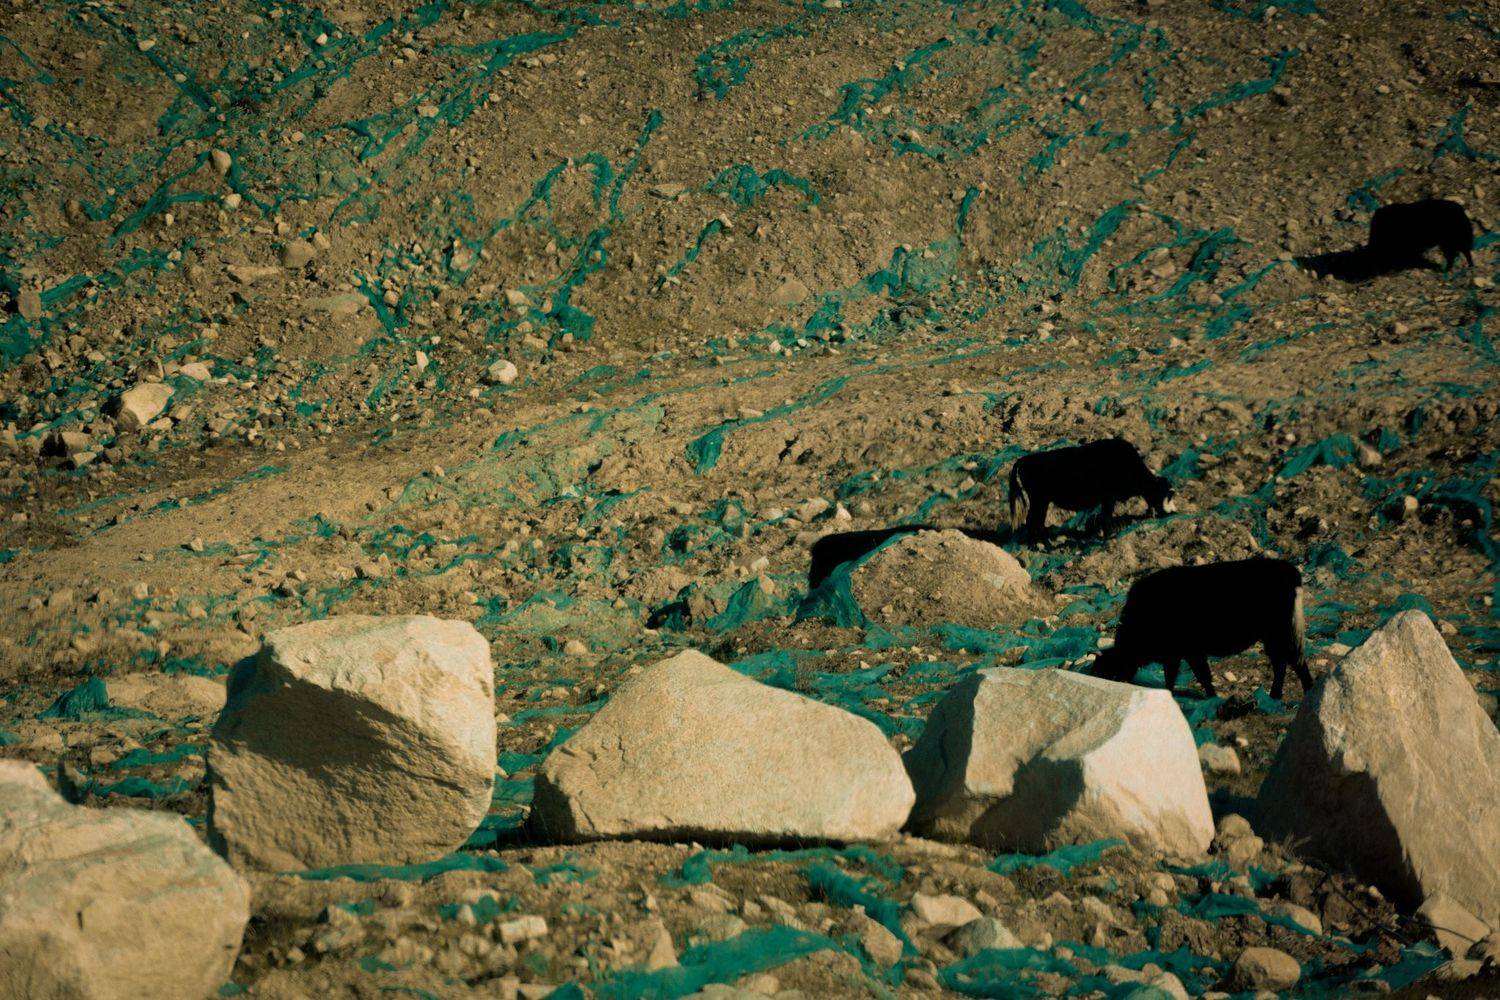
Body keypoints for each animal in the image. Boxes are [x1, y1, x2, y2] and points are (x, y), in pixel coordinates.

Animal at [1008, 438, 1174, 543]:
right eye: (1166, 494)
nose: (1173, 512)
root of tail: (1024, 460)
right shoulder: (1108, 499)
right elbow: (1106, 518)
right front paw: (1109, 537)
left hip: (1041, 501)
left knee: (1033, 521)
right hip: (1040, 500)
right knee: (1035, 521)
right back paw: (1045, 546)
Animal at [1091, 557, 1313, 701]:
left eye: (1107, 674)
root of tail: (1289, 570)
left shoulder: (1187, 652)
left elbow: (1198, 674)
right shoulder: (1179, 654)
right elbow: (1184, 675)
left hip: (1280, 632)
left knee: (1292, 660)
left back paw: (1304, 692)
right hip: (1273, 636)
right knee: (1282, 662)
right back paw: (1277, 696)